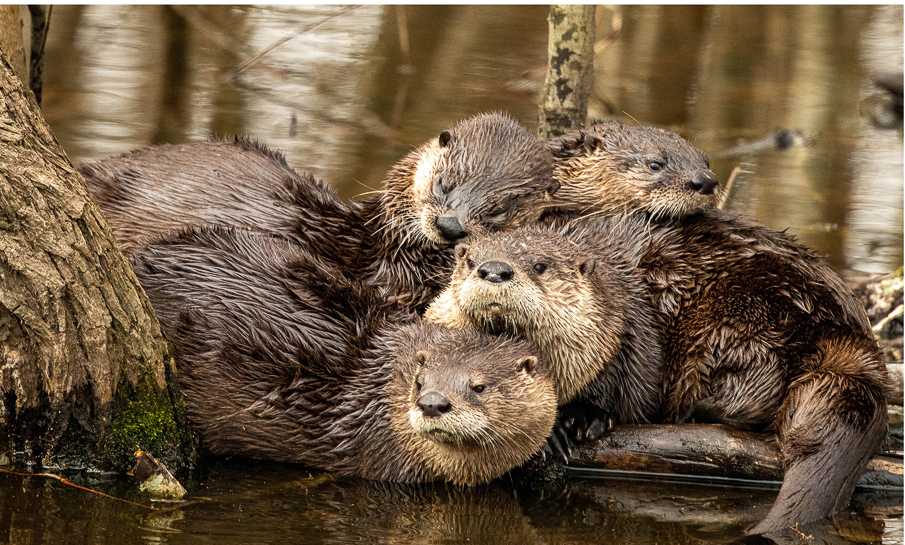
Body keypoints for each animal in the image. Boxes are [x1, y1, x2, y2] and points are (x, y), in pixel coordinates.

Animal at [427, 213, 888, 535]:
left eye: (539, 265)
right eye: (469, 261)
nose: (494, 269)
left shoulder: (623, 335)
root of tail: (844, 328)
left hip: (738, 320)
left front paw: (577, 420)